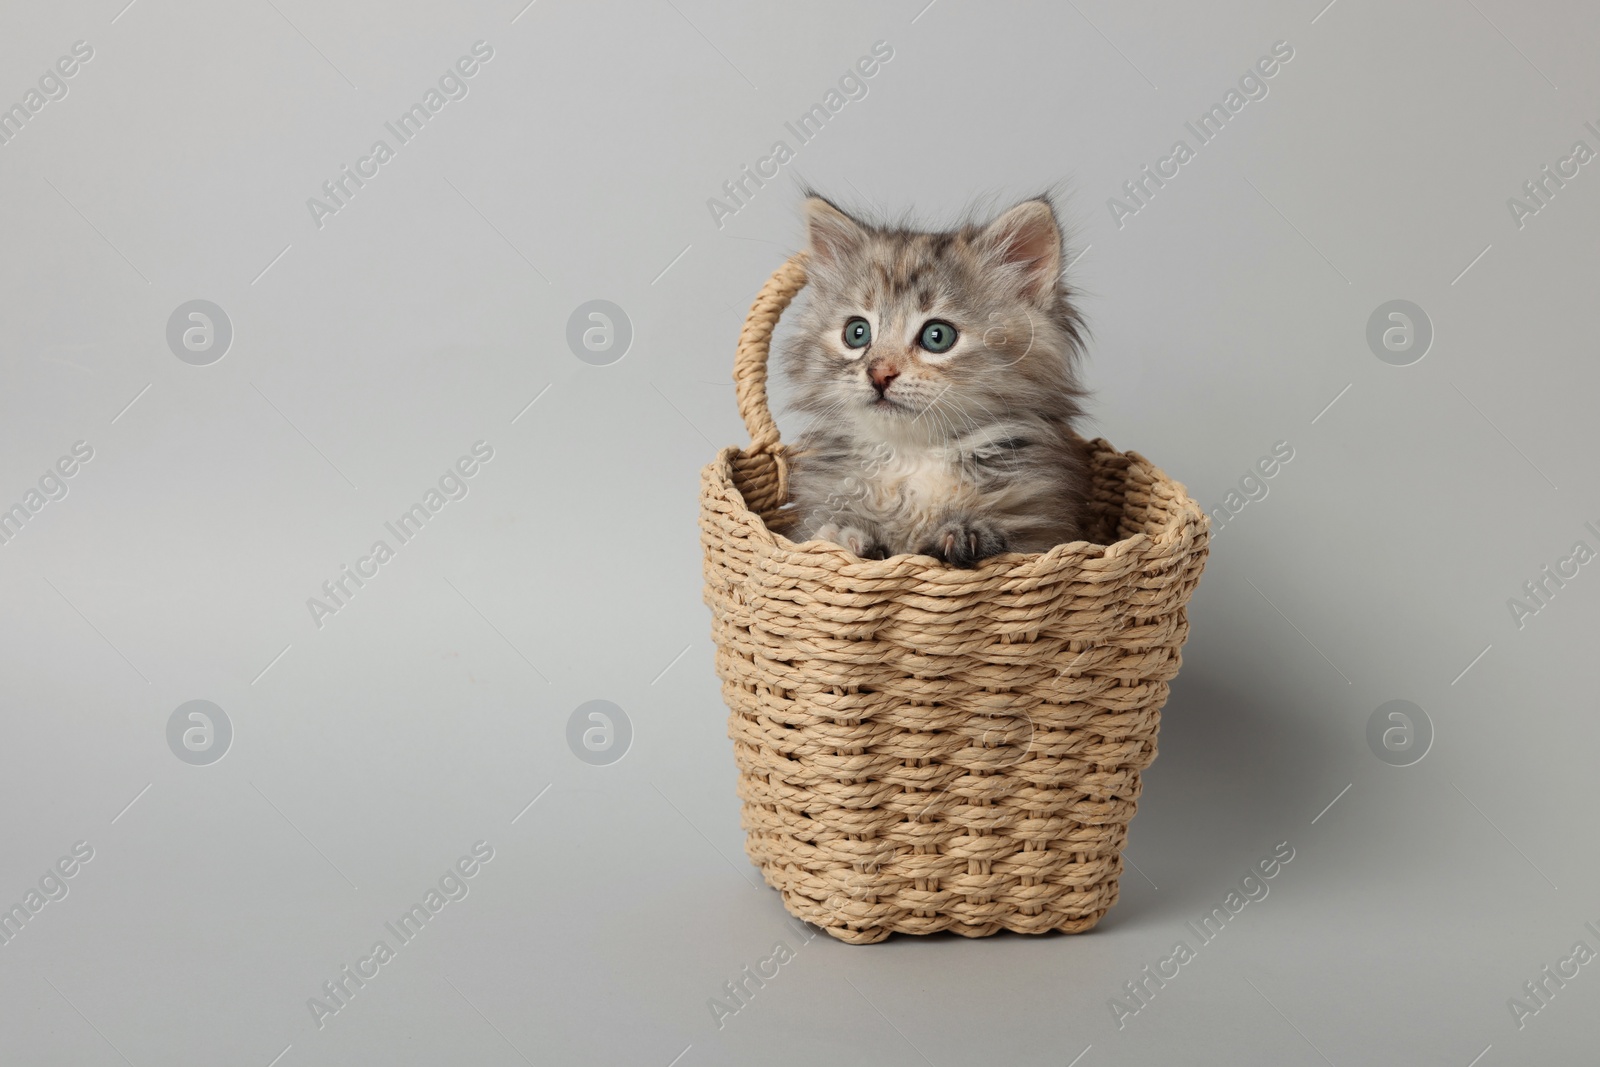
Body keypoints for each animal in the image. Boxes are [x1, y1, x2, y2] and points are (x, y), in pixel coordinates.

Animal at [780, 195, 1094, 572]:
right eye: (857, 333)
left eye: (937, 336)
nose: (879, 373)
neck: (914, 457)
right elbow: (822, 535)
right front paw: (843, 537)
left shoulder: (1046, 527)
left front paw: (965, 535)